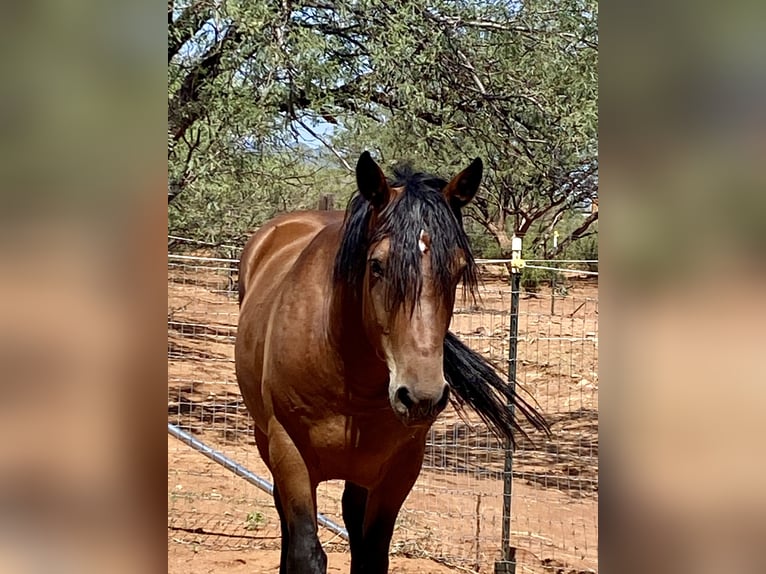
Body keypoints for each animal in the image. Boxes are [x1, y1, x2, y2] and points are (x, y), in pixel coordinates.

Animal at [237, 153, 548, 574]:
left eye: (457, 269)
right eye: (377, 265)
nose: (420, 397)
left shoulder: (399, 470)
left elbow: (372, 554)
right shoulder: (289, 453)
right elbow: (305, 551)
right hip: (266, 440)